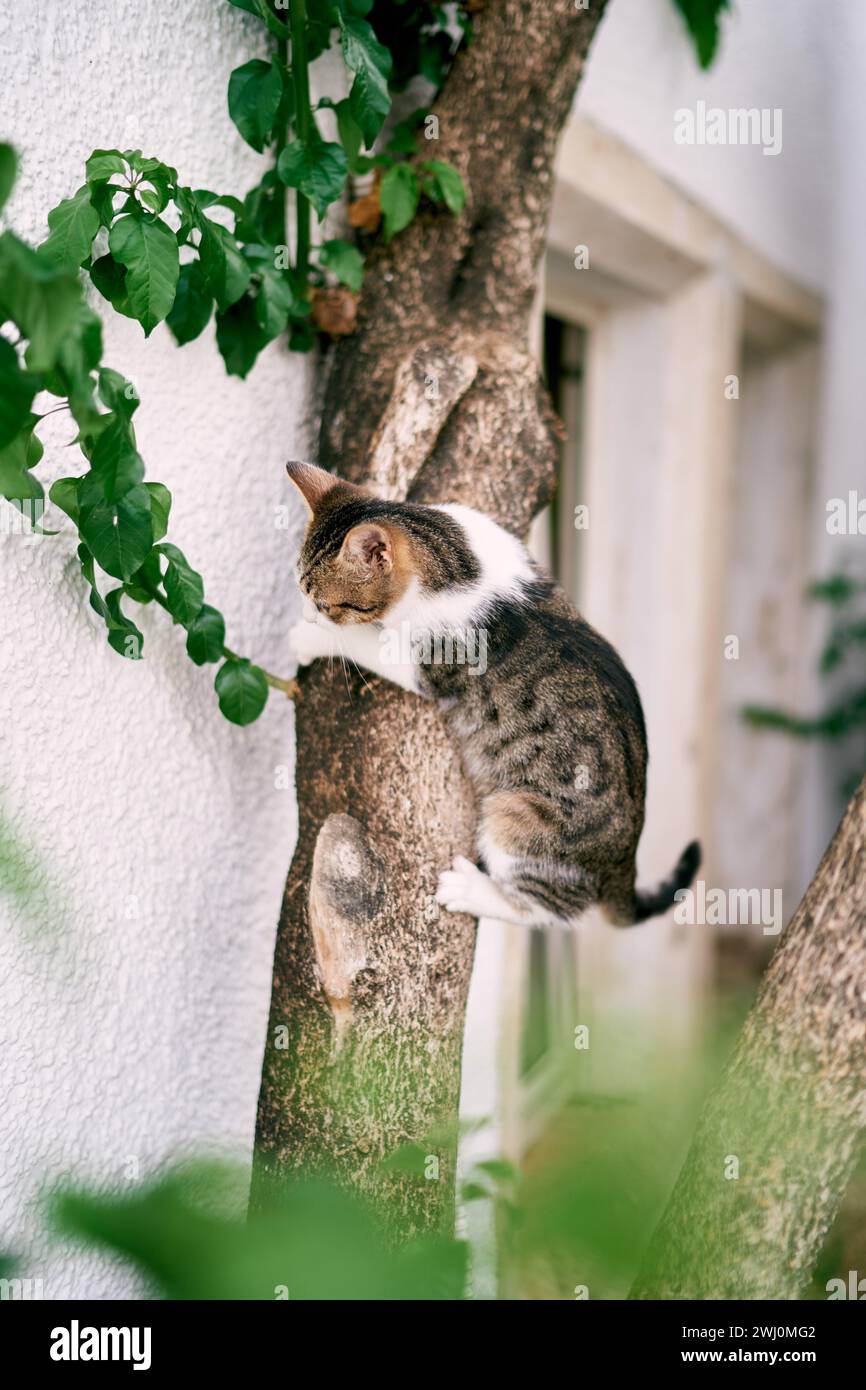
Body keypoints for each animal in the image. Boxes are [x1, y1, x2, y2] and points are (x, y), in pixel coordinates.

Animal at [287, 461, 700, 928]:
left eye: (324, 605)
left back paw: (471, 890)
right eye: (302, 591)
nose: (308, 616)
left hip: (517, 817)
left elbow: (362, 643)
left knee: (552, 910)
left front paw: (308, 638)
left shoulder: (427, 662)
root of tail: (625, 862)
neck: (454, 559)